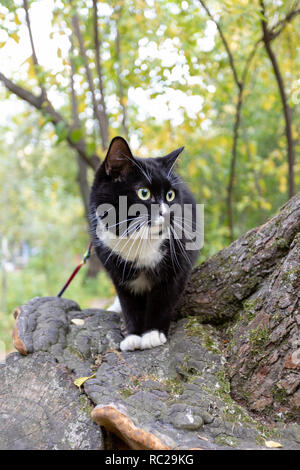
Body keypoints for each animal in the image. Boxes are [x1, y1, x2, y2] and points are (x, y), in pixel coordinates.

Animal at [90, 135, 200, 348]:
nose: (168, 214)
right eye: (144, 193)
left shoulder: (177, 262)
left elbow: (164, 299)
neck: (137, 238)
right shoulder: (115, 268)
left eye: (170, 195)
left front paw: (152, 334)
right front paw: (133, 335)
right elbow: (129, 303)